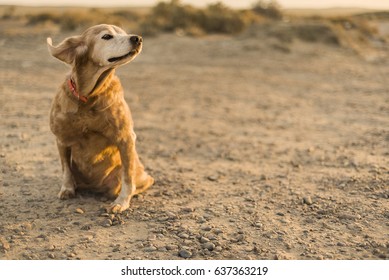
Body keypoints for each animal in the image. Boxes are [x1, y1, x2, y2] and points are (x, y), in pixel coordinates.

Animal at [47, 24, 153, 212]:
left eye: (124, 33)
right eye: (107, 36)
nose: (137, 38)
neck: (89, 96)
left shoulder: (126, 139)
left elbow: (128, 177)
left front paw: (121, 202)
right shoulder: (61, 139)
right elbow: (66, 168)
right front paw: (67, 189)